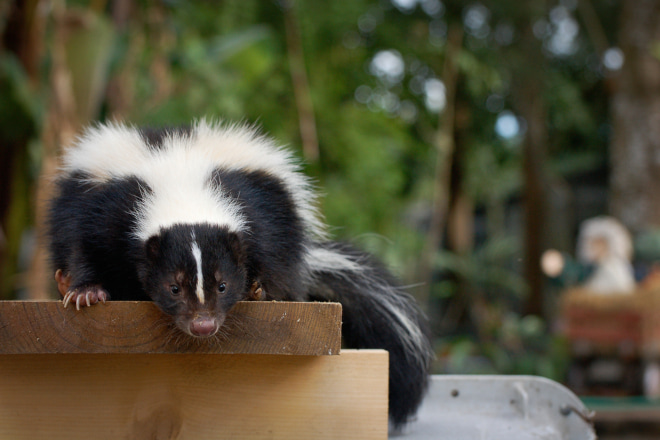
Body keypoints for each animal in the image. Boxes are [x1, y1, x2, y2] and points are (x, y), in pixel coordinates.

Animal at [49, 119, 436, 426]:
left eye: (222, 285)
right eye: (173, 288)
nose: (203, 325)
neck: (181, 181)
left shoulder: (259, 205)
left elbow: (270, 249)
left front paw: (258, 289)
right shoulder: (105, 203)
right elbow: (81, 244)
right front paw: (86, 290)